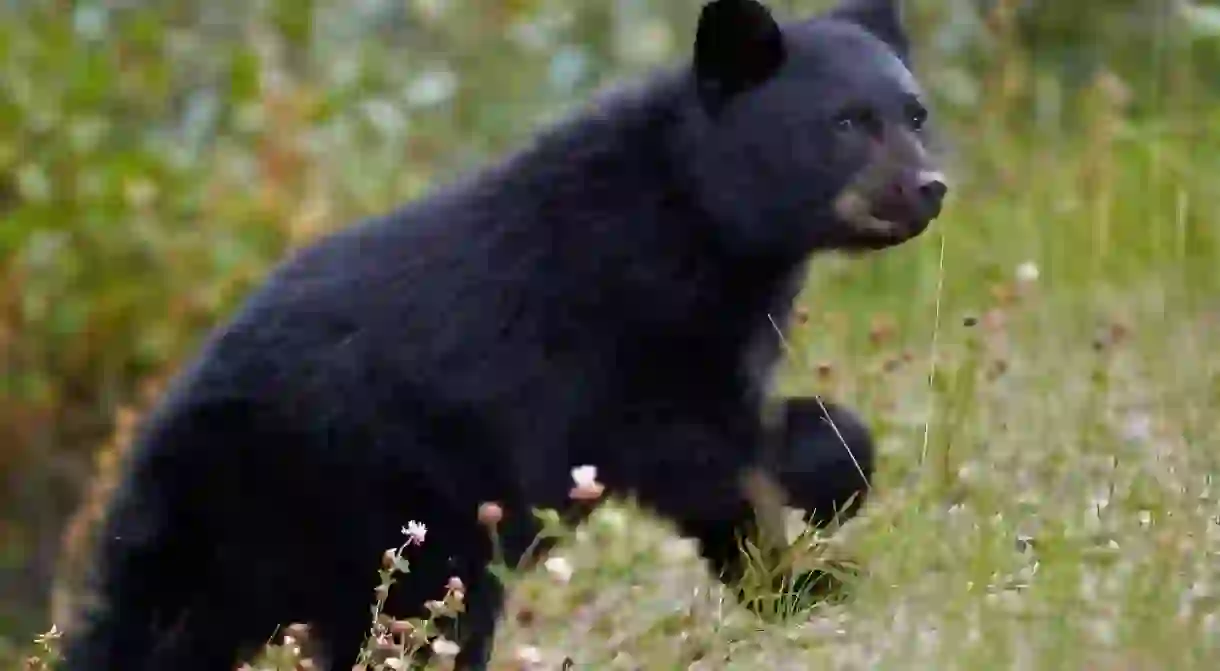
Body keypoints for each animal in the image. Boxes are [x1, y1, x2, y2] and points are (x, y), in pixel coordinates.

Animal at [61, 0, 946, 668]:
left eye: (914, 113)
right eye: (847, 121)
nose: (929, 187)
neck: (706, 224)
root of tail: (158, 439)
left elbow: (724, 493)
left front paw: (798, 585)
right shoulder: (617, 333)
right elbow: (697, 445)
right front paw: (833, 482)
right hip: (383, 509)